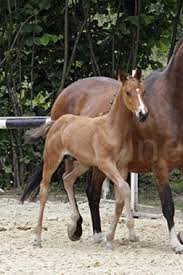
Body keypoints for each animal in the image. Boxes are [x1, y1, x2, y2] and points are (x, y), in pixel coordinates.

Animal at [33, 69, 148, 248]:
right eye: (128, 92)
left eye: (142, 92)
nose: (142, 114)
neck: (113, 128)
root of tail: (56, 122)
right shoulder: (106, 164)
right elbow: (125, 189)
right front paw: (114, 235)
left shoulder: (122, 167)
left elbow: (121, 196)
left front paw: (124, 234)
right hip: (52, 160)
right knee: (44, 189)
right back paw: (37, 238)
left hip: (83, 163)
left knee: (67, 179)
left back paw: (74, 225)